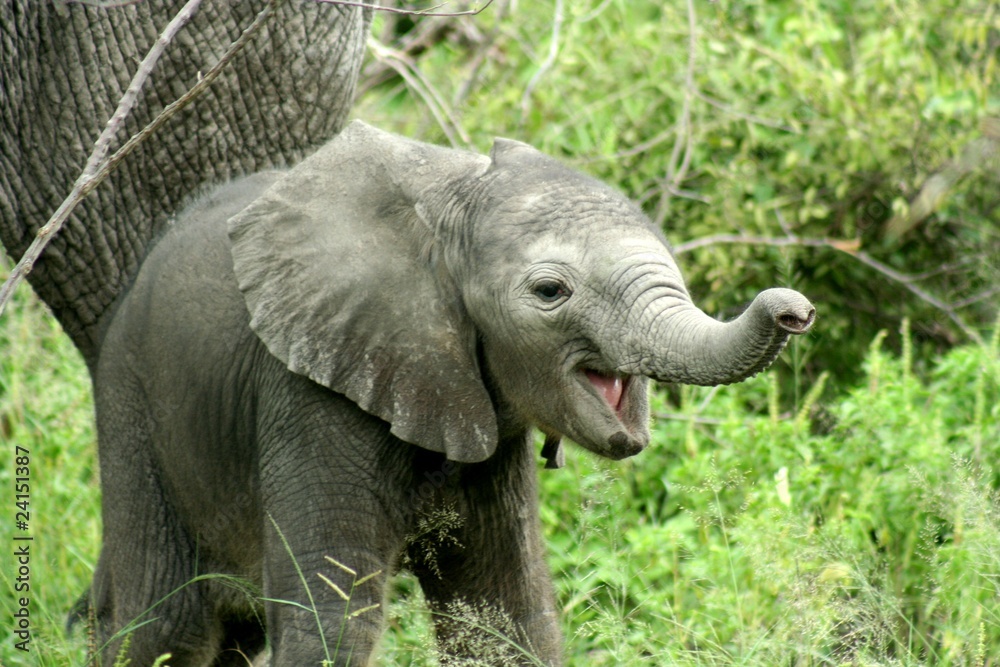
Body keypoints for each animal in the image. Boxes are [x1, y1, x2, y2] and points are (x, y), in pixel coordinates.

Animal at [83, 119, 815, 665]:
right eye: (550, 291)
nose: (795, 309)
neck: (449, 195)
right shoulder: (305, 391)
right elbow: (334, 619)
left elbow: (503, 613)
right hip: (130, 402)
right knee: (166, 627)